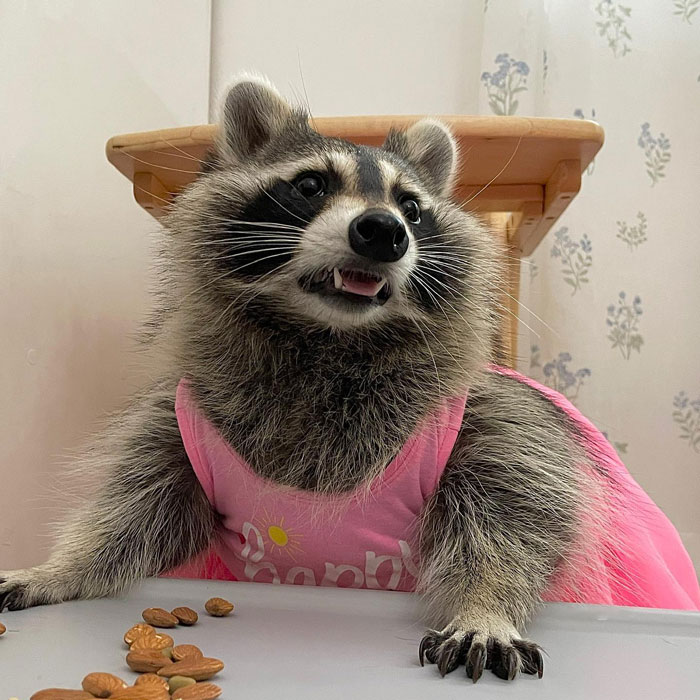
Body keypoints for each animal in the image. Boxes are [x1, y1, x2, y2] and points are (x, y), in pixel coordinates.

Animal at [1, 77, 698, 683]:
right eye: (310, 184)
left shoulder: (497, 421)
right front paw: (64, 564)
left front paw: (487, 604)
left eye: (411, 206)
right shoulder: (178, 424)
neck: (329, 338)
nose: (384, 231)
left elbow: (521, 518)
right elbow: (133, 513)